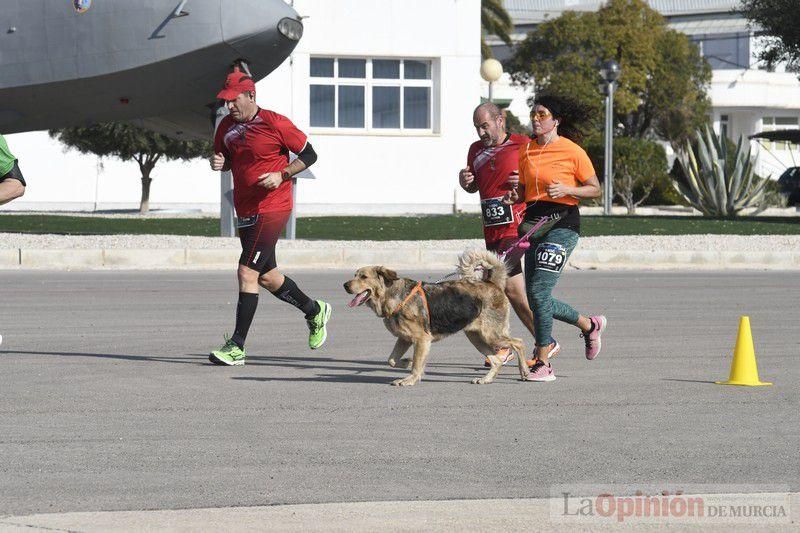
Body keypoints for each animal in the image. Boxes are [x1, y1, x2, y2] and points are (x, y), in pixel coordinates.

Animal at [342, 247, 524, 384]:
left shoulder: (421, 339)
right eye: (354, 275)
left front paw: (409, 379)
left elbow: (416, 365)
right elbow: (392, 360)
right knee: (497, 360)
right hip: (476, 337)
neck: (394, 295)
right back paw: (486, 379)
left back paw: (524, 371)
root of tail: (492, 283)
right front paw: (406, 362)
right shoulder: (404, 338)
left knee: (519, 343)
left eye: (363, 276)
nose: (344, 285)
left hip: (491, 335)